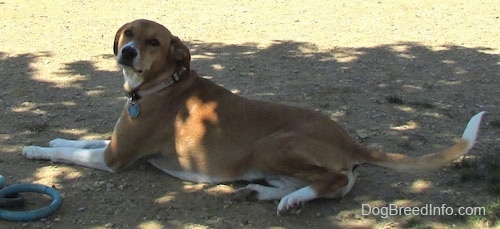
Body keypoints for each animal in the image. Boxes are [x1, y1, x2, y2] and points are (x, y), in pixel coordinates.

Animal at [22, 19, 484, 215]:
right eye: (129, 34)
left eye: (154, 42)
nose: (128, 52)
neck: (163, 83)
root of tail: (349, 139)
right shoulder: (115, 144)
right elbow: (80, 141)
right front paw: (51, 140)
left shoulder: (115, 158)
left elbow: (73, 153)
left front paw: (34, 148)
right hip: (264, 158)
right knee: (325, 182)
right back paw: (264, 194)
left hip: (271, 144)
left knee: (337, 182)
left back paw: (288, 200)